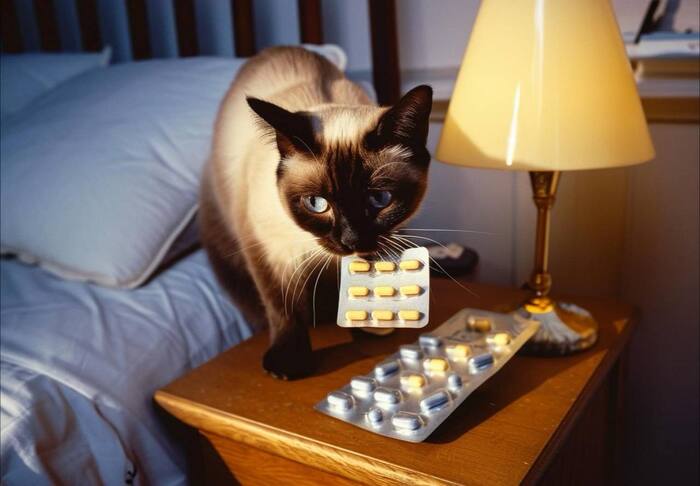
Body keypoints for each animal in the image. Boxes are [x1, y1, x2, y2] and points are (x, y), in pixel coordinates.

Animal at [200, 46, 433, 379]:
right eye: (316, 204)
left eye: (380, 199)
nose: (350, 240)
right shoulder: (269, 250)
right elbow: (282, 306)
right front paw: (288, 363)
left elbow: (364, 286)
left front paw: (369, 323)